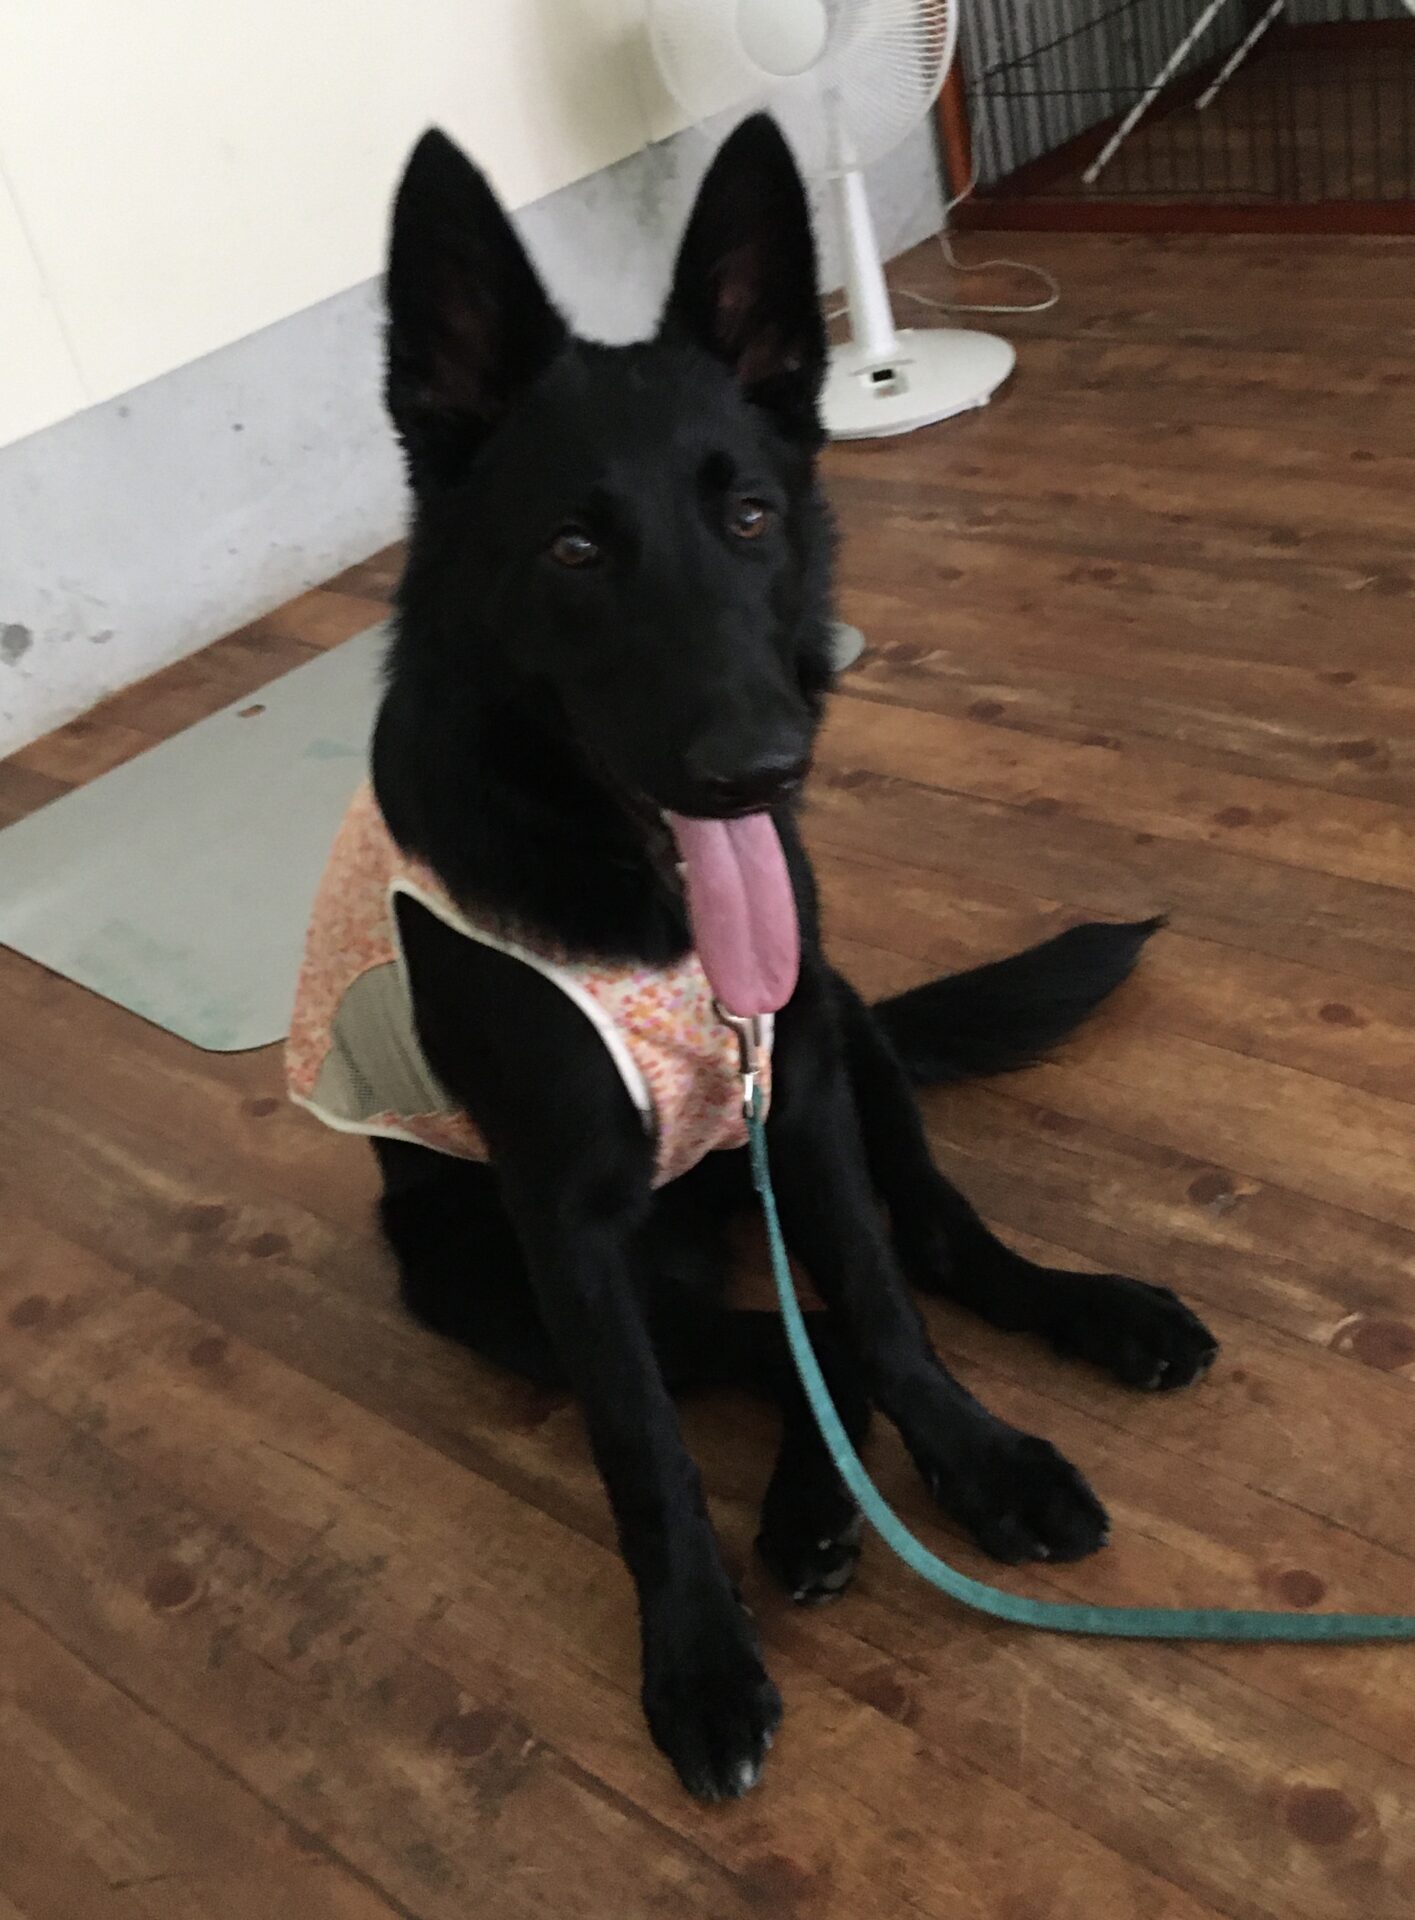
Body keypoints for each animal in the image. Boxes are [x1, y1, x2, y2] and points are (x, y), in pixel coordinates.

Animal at [289, 115, 1218, 1802]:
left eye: (748, 519)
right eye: (574, 548)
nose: (756, 769)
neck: (646, 916)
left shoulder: (804, 1106)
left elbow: (887, 1304)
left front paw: (977, 1462)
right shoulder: (567, 1231)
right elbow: (647, 1452)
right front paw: (698, 1659)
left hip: (850, 1049)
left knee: (926, 1256)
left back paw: (1089, 1324)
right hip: (479, 1274)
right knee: (771, 1347)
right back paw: (807, 1507)